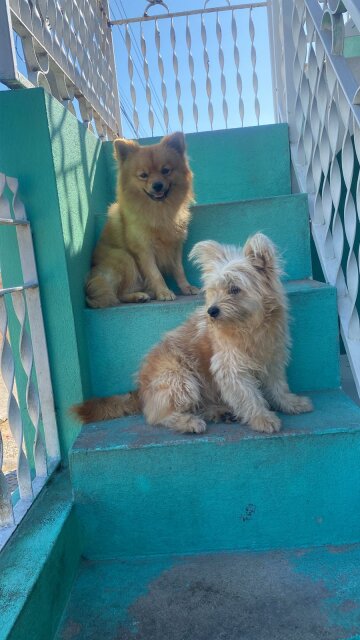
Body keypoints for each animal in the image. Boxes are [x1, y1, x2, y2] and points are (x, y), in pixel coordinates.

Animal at [74, 232, 314, 432]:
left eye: (234, 289)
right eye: (214, 290)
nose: (212, 311)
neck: (250, 327)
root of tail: (141, 391)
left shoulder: (273, 359)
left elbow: (278, 387)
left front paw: (291, 403)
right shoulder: (231, 368)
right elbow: (249, 397)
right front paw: (262, 418)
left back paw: (219, 412)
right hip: (180, 380)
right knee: (156, 416)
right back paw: (189, 422)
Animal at [87, 131, 200, 308]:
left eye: (165, 170)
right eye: (143, 175)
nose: (157, 185)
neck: (159, 210)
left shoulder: (175, 246)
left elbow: (179, 270)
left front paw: (186, 287)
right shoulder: (144, 250)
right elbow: (155, 274)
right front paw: (164, 292)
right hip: (124, 258)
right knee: (118, 294)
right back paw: (139, 296)